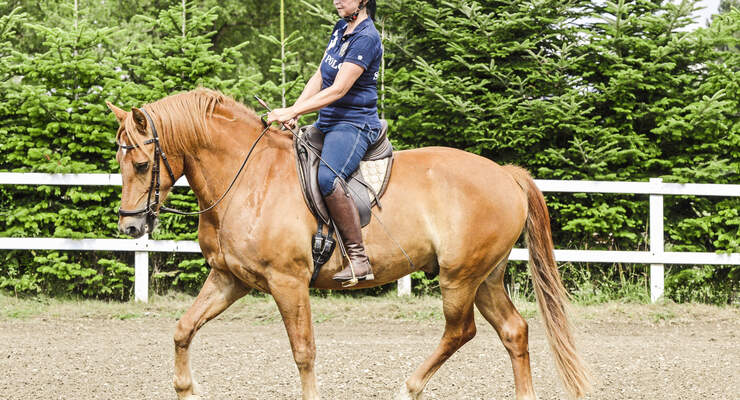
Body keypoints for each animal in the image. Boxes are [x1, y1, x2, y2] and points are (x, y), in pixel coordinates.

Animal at [107, 88, 590, 400]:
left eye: (142, 163)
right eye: (119, 160)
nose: (131, 227)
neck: (247, 178)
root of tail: (504, 174)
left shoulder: (287, 282)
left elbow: (303, 351)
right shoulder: (230, 278)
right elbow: (183, 329)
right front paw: (185, 389)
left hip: (460, 277)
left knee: (461, 331)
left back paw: (408, 388)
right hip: (485, 277)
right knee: (513, 331)